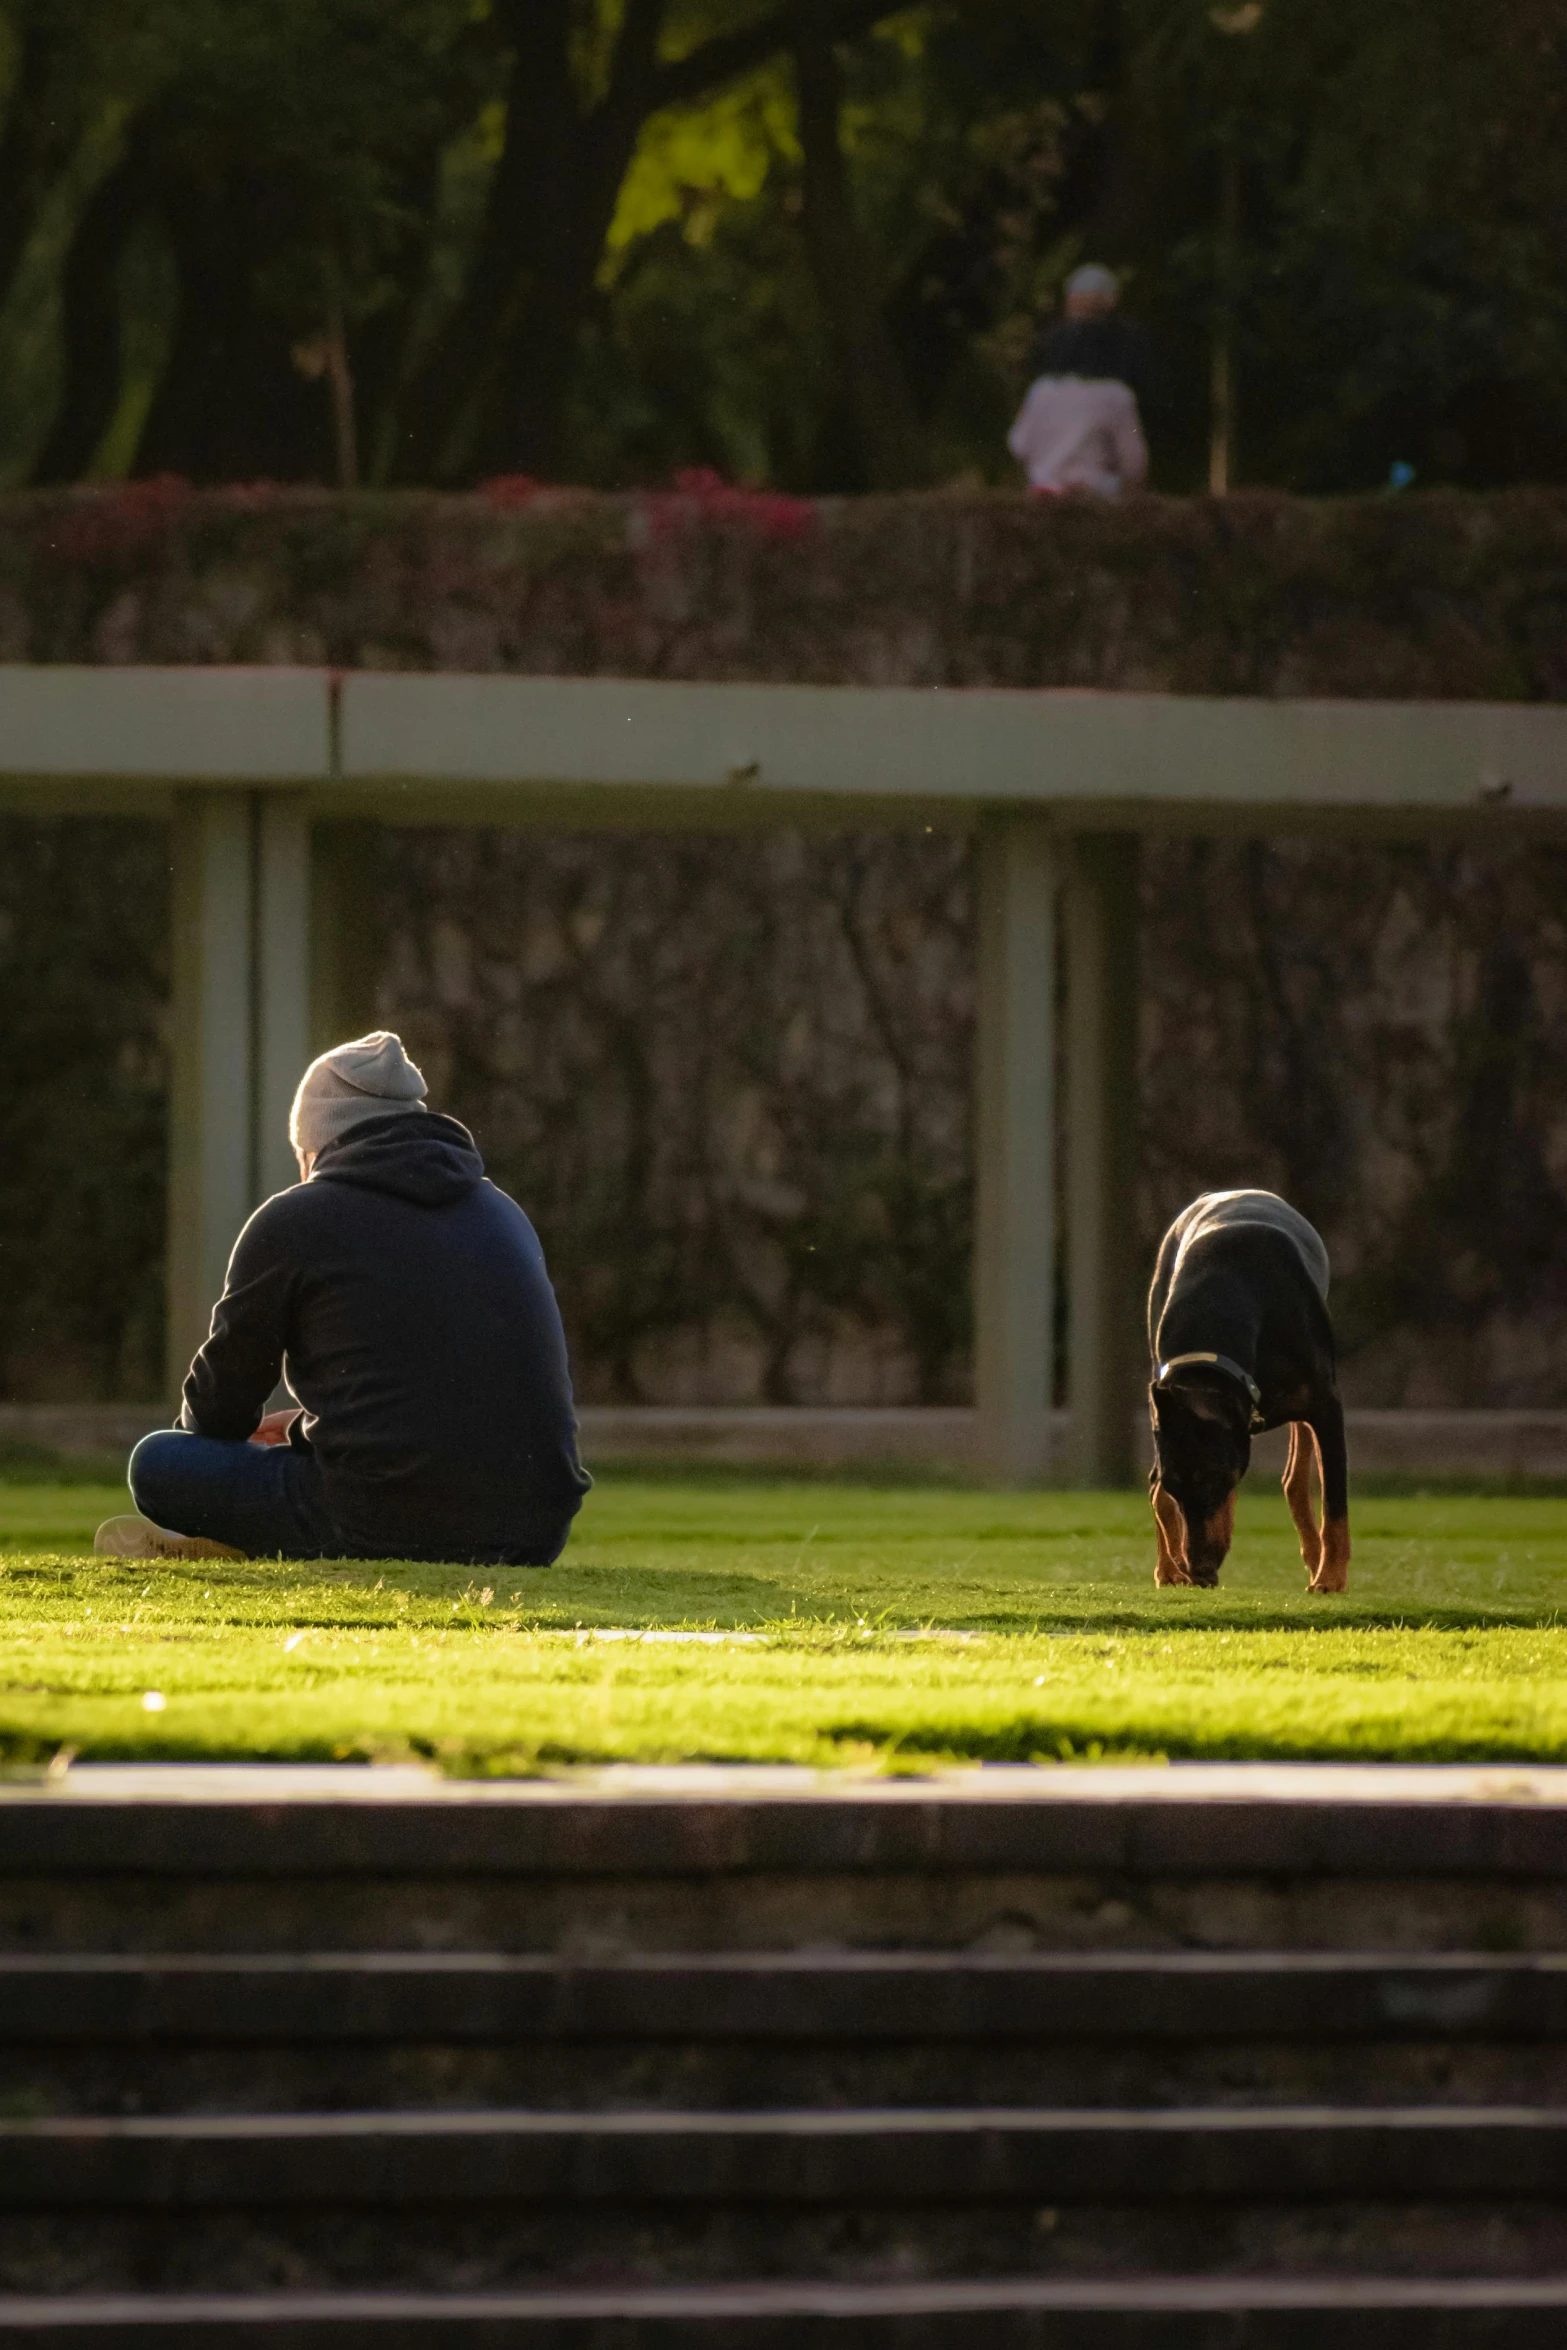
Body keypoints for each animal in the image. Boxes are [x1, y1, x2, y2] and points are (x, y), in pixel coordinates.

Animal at [1146, 1193, 1353, 1597]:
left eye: (1212, 1479)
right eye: (1177, 1486)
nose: (1200, 1572)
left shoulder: (1325, 1405)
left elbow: (1335, 1501)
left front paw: (1330, 1579)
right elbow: (1160, 1494)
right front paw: (1175, 1564)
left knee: (1296, 1476)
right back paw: (1168, 1569)